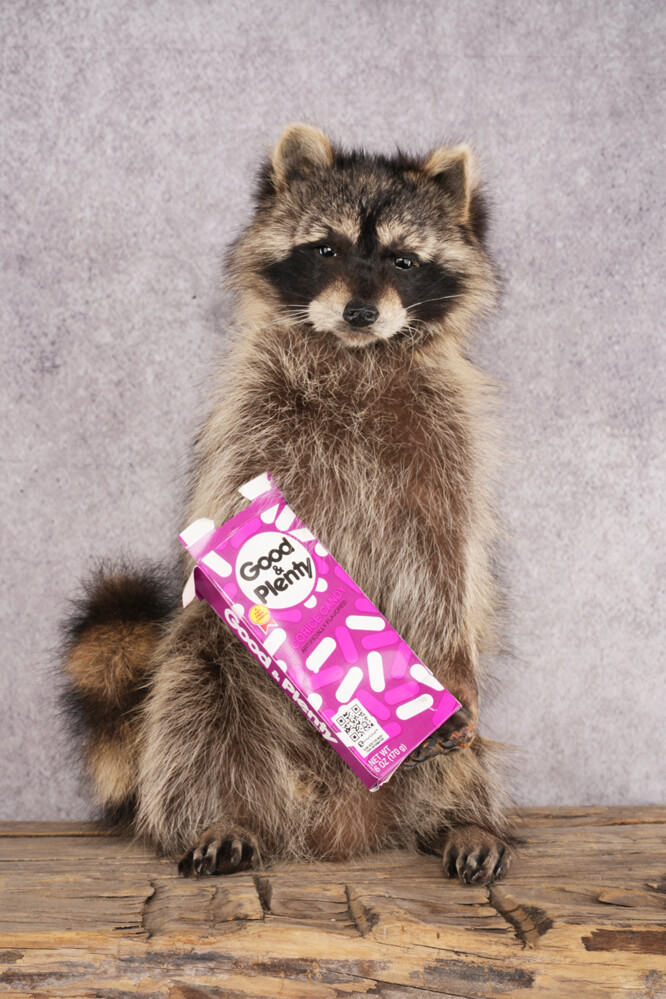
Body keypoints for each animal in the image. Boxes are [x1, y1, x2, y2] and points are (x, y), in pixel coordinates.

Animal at [62, 124, 516, 885]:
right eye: (326, 249)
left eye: (403, 260)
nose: (361, 311)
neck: (357, 354)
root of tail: (338, 821)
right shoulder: (253, 416)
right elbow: (225, 510)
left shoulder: (446, 440)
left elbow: (445, 555)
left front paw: (452, 666)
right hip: (214, 687)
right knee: (196, 702)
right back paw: (224, 815)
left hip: (446, 744)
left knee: (462, 755)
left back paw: (463, 817)